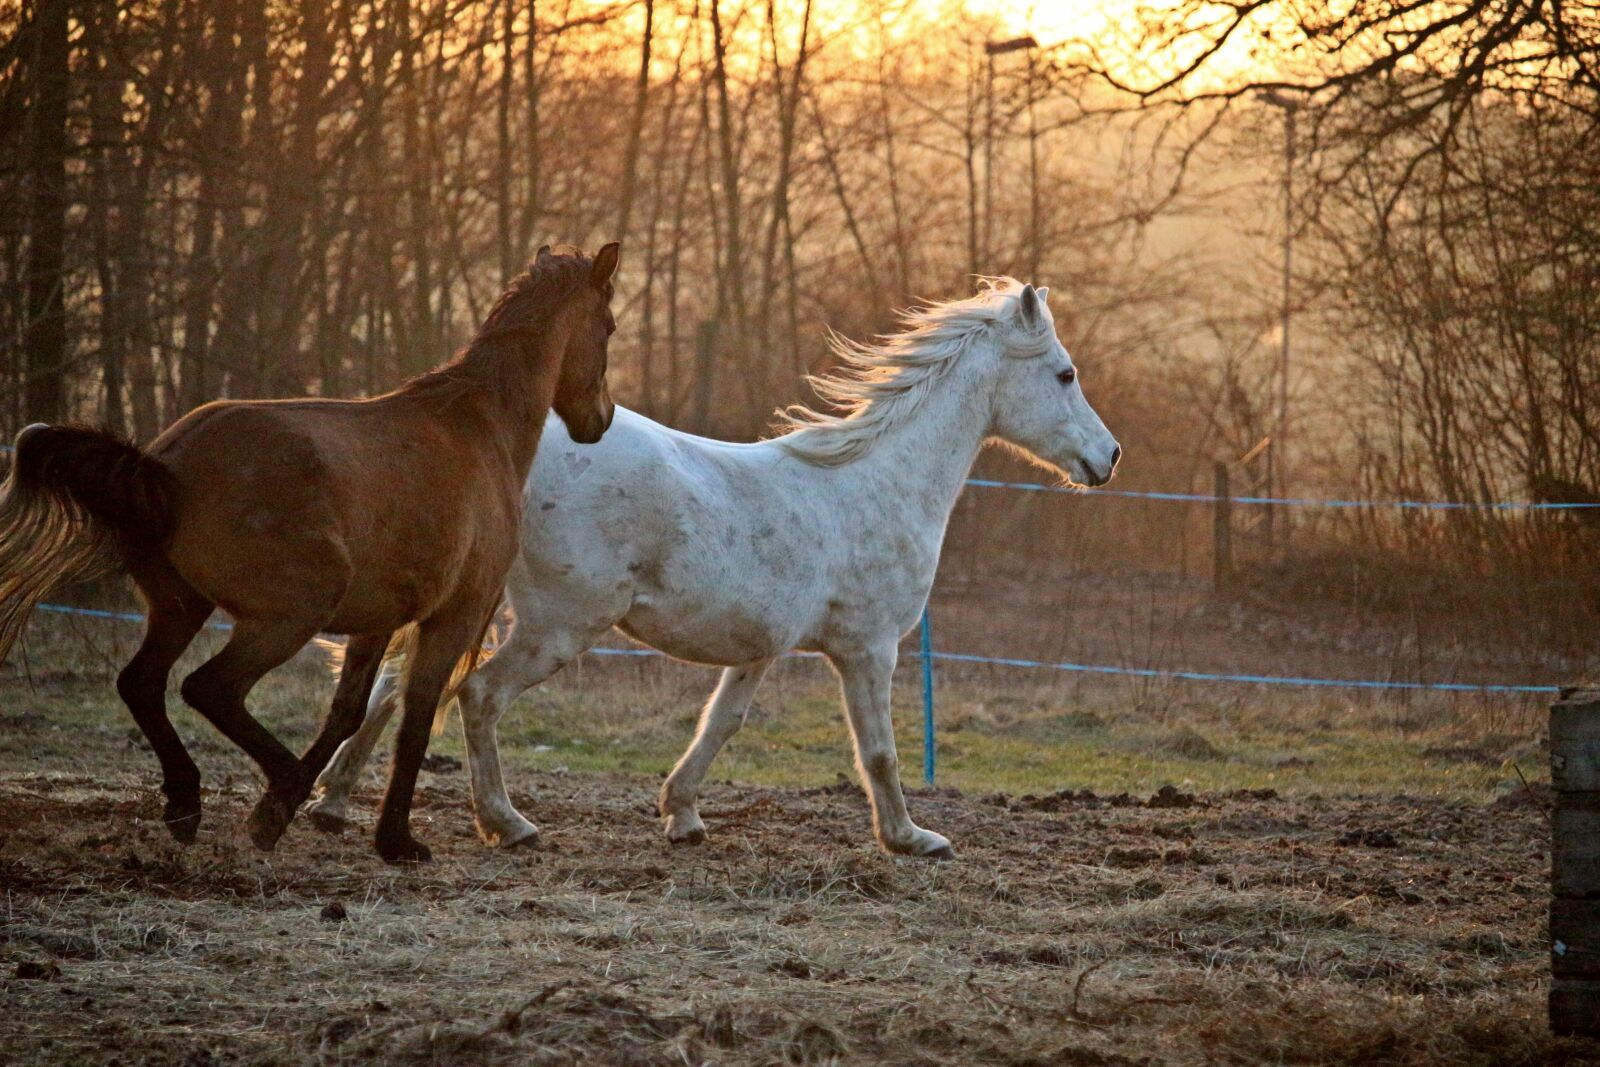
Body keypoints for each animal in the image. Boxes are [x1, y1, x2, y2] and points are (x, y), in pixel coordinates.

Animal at [0, 243, 620, 863]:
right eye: (609, 326)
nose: (602, 418)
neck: (478, 427)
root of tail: (166, 465)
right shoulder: (454, 615)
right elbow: (416, 716)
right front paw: (394, 838)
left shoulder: (378, 620)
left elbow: (348, 712)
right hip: (289, 615)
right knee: (209, 688)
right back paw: (276, 793)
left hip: (180, 607)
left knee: (142, 684)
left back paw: (188, 803)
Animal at [311, 277, 1120, 858]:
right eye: (1064, 373)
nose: (1108, 457)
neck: (877, 484)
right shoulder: (868, 649)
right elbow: (880, 752)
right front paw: (911, 839)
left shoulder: (758, 650)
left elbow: (720, 724)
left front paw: (682, 814)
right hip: (557, 624)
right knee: (475, 695)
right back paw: (507, 824)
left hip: (487, 606)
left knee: (394, 687)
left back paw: (332, 803)